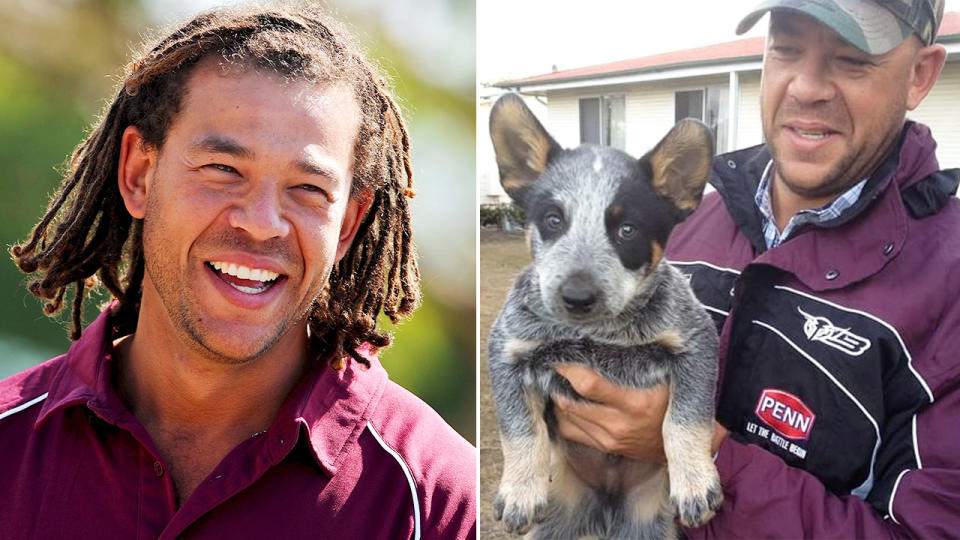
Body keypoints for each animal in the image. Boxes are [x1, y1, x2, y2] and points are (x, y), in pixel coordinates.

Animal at [488, 95, 720, 536]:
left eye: (627, 229)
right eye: (553, 219)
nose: (577, 296)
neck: (599, 334)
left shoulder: (697, 344)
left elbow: (685, 419)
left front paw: (696, 483)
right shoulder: (508, 351)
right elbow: (521, 429)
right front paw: (521, 492)